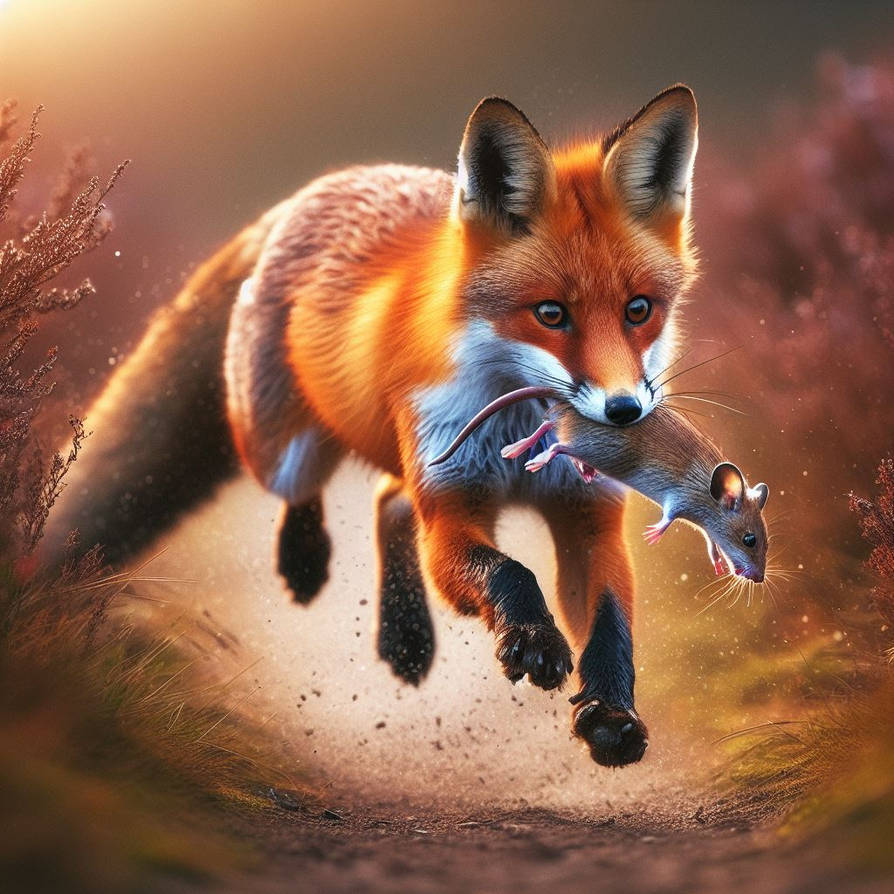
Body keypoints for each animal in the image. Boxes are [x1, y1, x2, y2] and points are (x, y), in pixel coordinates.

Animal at [44, 85, 699, 768]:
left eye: (639, 310)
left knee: (390, 499)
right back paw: (305, 559)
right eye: (550, 314)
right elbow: (509, 572)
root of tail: (314, 189)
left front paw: (612, 716)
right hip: (280, 446)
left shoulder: (589, 517)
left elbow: (610, 624)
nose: (624, 412)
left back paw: (404, 635)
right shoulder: (452, 507)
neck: (522, 445)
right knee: (314, 488)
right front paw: (534, 640)